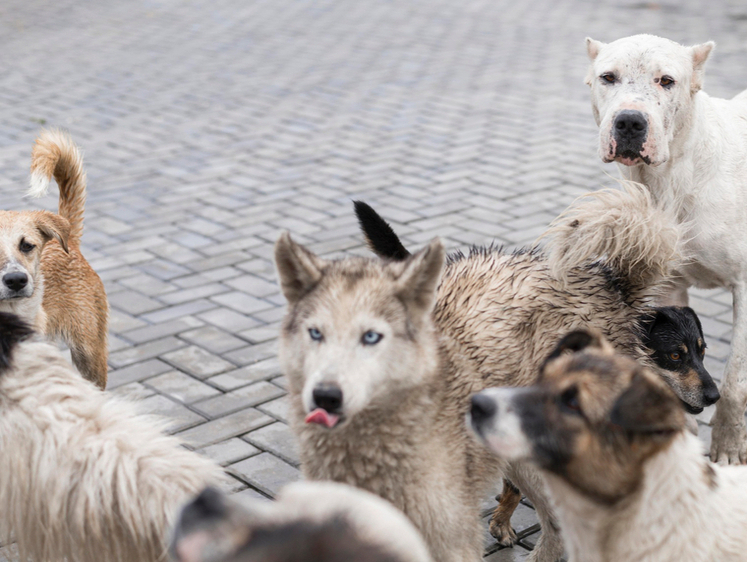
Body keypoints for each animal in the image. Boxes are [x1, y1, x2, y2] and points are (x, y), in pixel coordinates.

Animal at [584, 35, 747, 462]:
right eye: (608, 77)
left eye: (666, 81)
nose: (629, 121)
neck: (671, 178)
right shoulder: (667, 285)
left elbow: (736, 381)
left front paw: (728, 445)